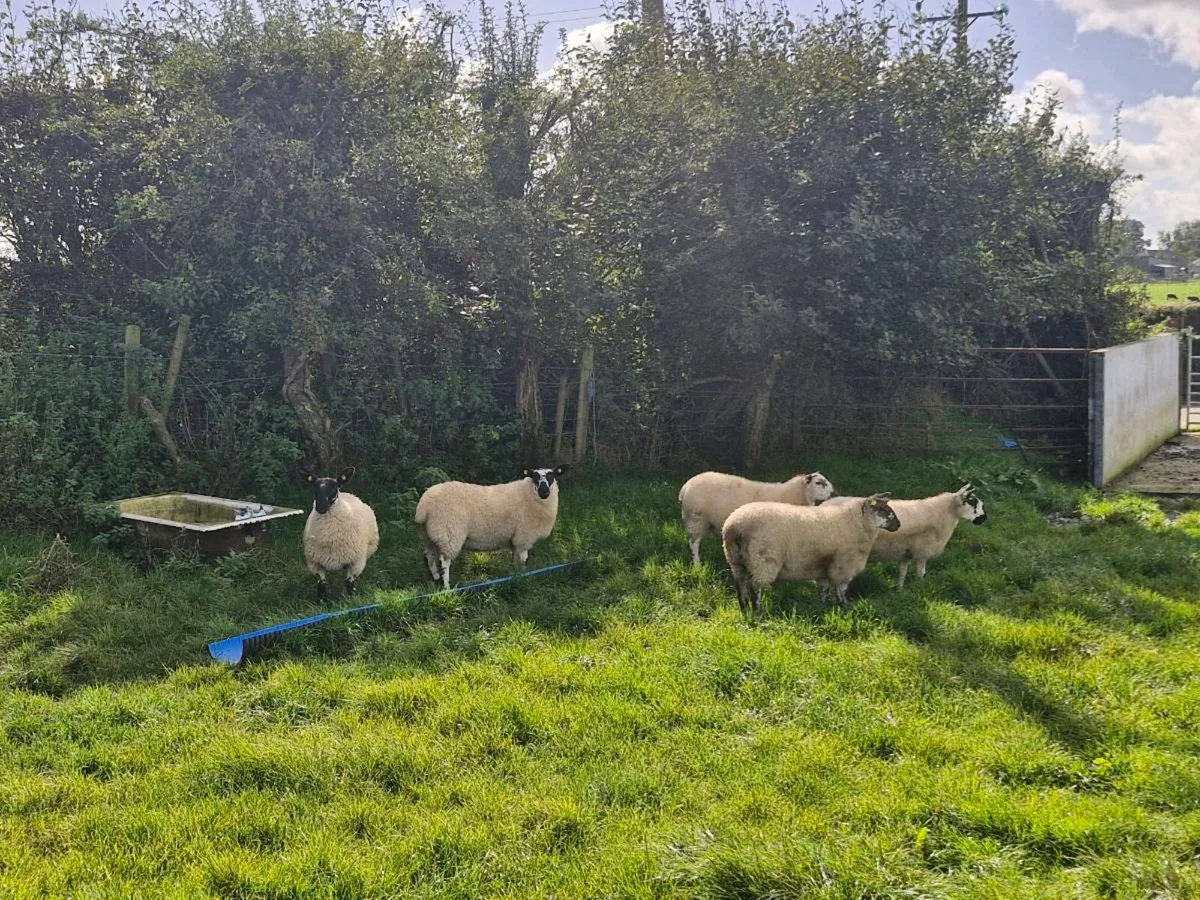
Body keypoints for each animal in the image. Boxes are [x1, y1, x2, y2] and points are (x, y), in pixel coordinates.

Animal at [302, 467, 380, 601]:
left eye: (335, 487)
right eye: (315, 487)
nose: (320, 507)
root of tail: (347, 493)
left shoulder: (355, 563)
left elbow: (349, 584)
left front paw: (352, 601)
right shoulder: (315, 564)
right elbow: (321, 585)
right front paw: (321, 602)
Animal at [414, 466, 567, 589]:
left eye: (552, 476)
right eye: (535, 477)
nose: (544, 492)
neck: (529, 496)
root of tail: (424, 506)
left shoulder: (516, 540)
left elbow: (515, 560)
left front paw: (515, 576)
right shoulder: (524, 538)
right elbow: (523, 560)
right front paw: (524, 577)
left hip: (430, 536)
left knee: (429, 558)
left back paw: (436, 579)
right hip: (449, 534)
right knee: (444, 563)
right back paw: (446, 586)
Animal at [678, 471, 835, 566]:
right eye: (819, 483)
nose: (833, 493)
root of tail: (685, 487)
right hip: (696, 519)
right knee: (694, 543)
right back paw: (697, 563)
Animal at [722, 493, 900, 615]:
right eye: (882, 509)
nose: (898, 524)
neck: (857, 522)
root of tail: (734, 526)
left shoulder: (823, 565)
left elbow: (823, 588)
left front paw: (822, 606)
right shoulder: (844, 564)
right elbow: (841, 588)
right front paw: (844, 606)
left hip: (736, 560)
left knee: (740, 585)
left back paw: (744, 609)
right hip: (763, 560)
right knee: (755, 586)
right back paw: (758, 611)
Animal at [822, 484, 986, 588]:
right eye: (972, 503)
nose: (984, 518)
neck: (945, 512)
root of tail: (823, 506)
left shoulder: (905, 552)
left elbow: (903, 572)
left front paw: (900, 590)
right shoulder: (922, 552)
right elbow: (921, 573)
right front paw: (921, 588)